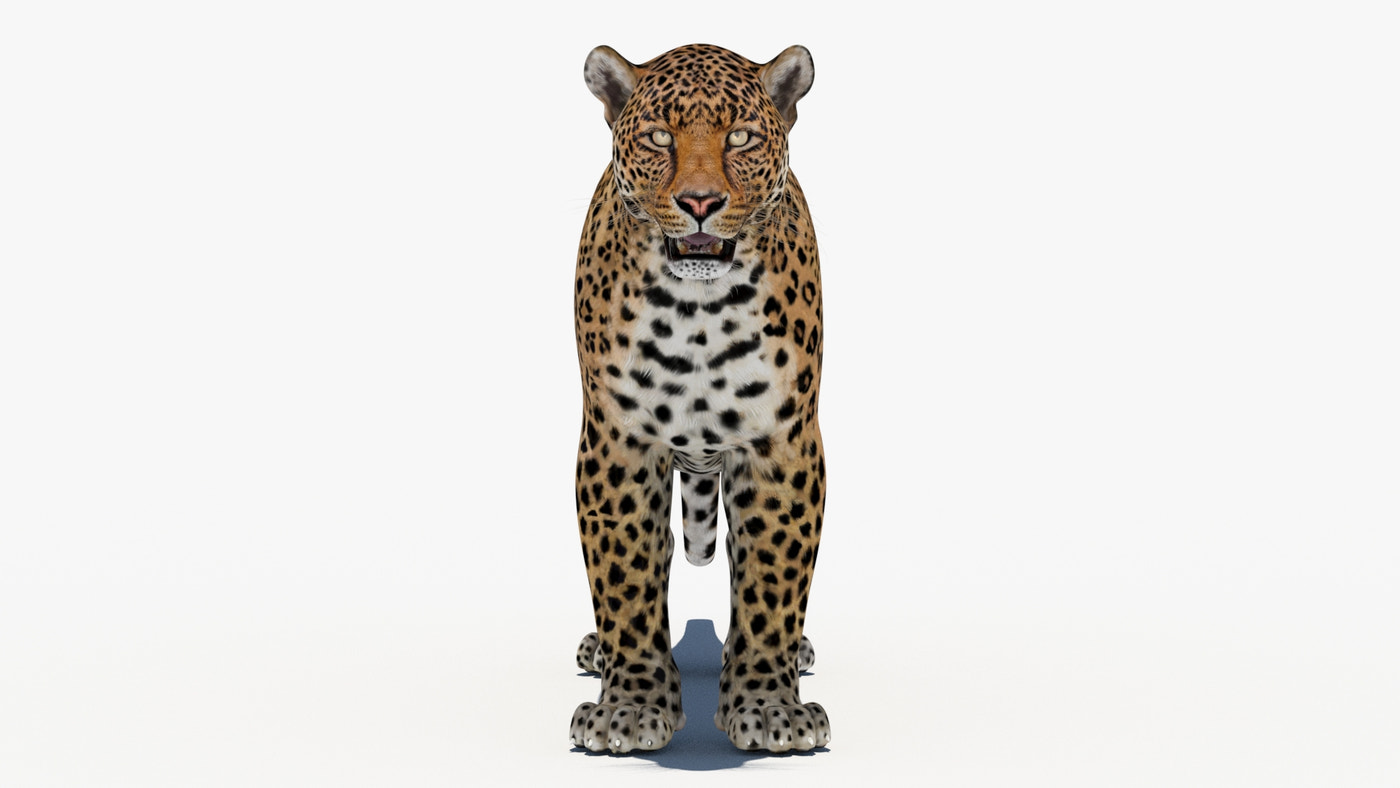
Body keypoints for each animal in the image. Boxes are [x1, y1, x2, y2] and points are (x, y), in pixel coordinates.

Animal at [569, 43, 829, 755]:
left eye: (740, 138)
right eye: (660, 137)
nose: (700, 202)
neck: (698, 310)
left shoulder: (781, 443)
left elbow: (771, 580)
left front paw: (768, 706)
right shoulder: (619, 442)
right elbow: (626, 579)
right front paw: (629, 707)